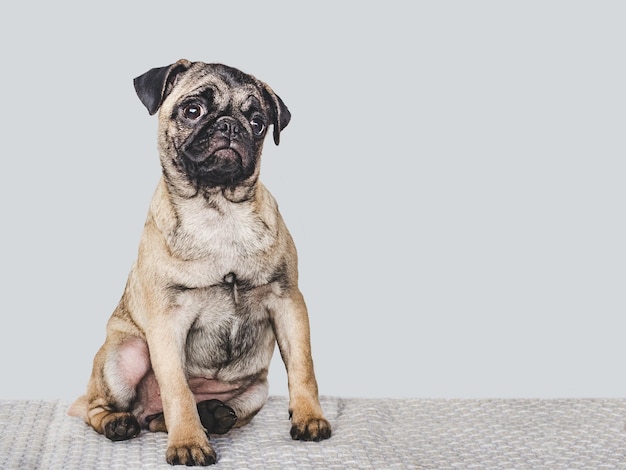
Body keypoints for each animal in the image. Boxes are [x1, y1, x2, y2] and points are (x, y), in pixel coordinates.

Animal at [67, 59, 330, 466]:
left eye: (258, 122)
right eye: (193, 111)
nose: (230, 125)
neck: (218, 210)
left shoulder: (288, 302)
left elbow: (303, 367)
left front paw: (308, 417)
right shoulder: (167, 321)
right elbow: (177, 389)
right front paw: (189, 443)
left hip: (257, 389)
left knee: (180, 416)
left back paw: (214, 414)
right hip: (124, 356)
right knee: (96, 406)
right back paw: (120, 423)